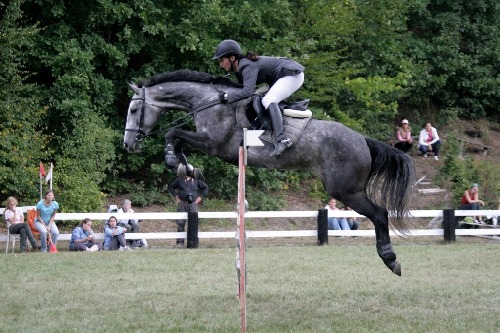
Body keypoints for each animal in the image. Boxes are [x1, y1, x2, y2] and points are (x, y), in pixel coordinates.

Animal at [123, 68, 416, 274]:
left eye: (135, 109)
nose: (128, 144)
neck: (209, 101)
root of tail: (362, 140)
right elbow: (177, 139)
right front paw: (186, 166)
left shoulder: (213, 144)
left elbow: (174, 133)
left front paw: (174, 160)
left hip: (345, 190)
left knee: (380, 213)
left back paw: (391, 259)